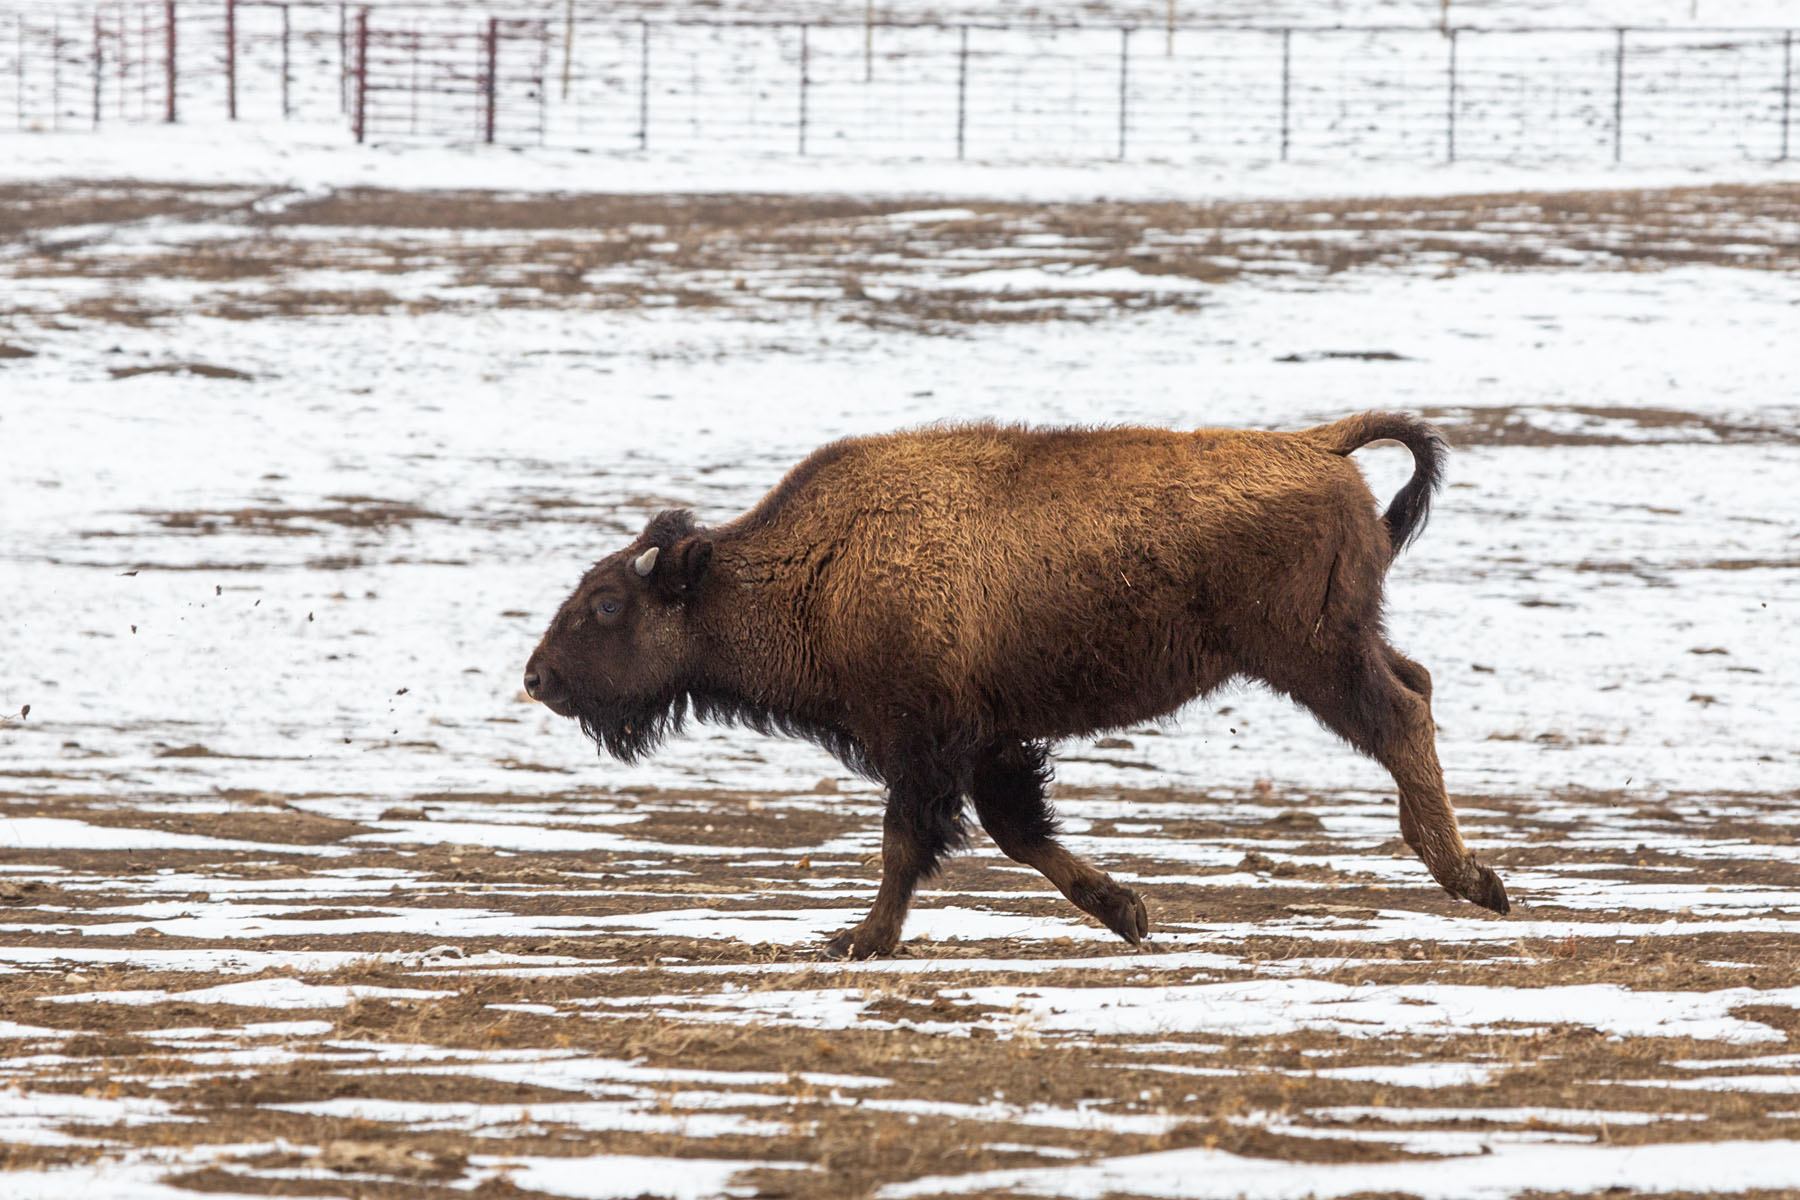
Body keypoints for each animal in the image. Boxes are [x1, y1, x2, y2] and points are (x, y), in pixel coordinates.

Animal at [524, 413, 1509, 958]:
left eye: (608, 604)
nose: (537, 679)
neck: (818, 565)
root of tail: (1320, 446)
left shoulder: (921, 745)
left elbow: (906, 844)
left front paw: (857, 941)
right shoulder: (989, 743)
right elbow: (1020, 833)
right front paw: (1130, 912)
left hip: (1309, 656)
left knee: (1399, 717)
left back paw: (1475, 880)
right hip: (1345, 641)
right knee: (1416, 688)